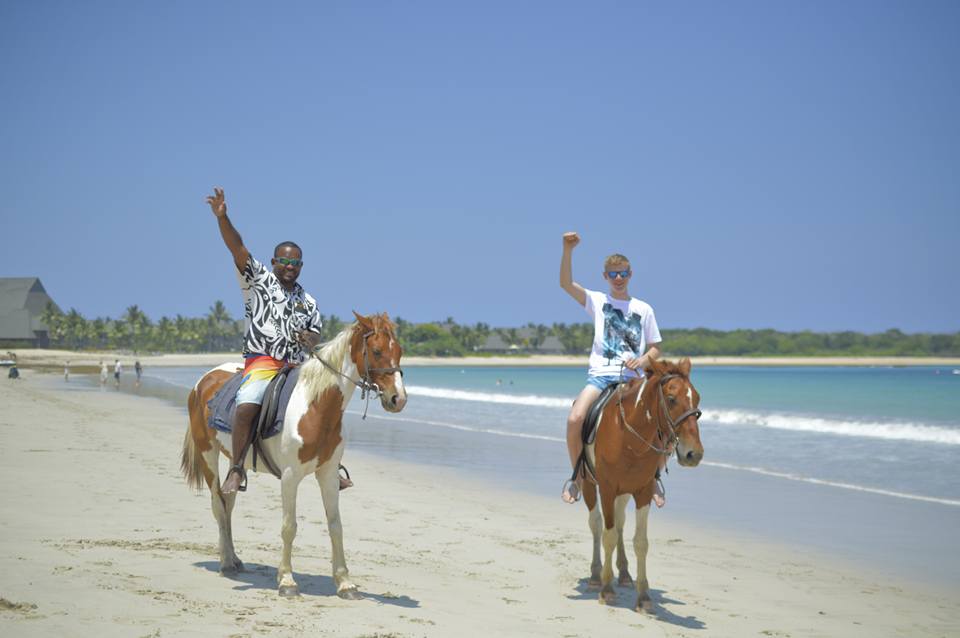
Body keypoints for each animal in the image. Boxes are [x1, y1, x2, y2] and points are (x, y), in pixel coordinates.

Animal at [182, 314, 406, 600]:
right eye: (376, 351)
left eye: (398, 351)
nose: (398, 399)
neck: (315, 405)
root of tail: (203, 381)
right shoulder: (290, 477)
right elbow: (289, 526)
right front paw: (287, 581)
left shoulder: (328, 475)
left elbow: (336, 526)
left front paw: (345, 583)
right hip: (207, 455)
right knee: (218, 505)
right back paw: (225, 563)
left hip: (236, 460)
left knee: (228, 501)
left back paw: (234, 559)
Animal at [576, 360, 704, 616]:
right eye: (671, 398)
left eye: (697, 397)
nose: (693, 453)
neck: (629, 437)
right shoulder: (606, 489)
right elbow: (607, 536)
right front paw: (606, 589)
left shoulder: (643, 491)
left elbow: (640, 542)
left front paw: (643, 597)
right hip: (589, 485)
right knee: (597, 524)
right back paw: (596, 575)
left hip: (624, 493)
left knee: (620, 524)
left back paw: (625, 574)